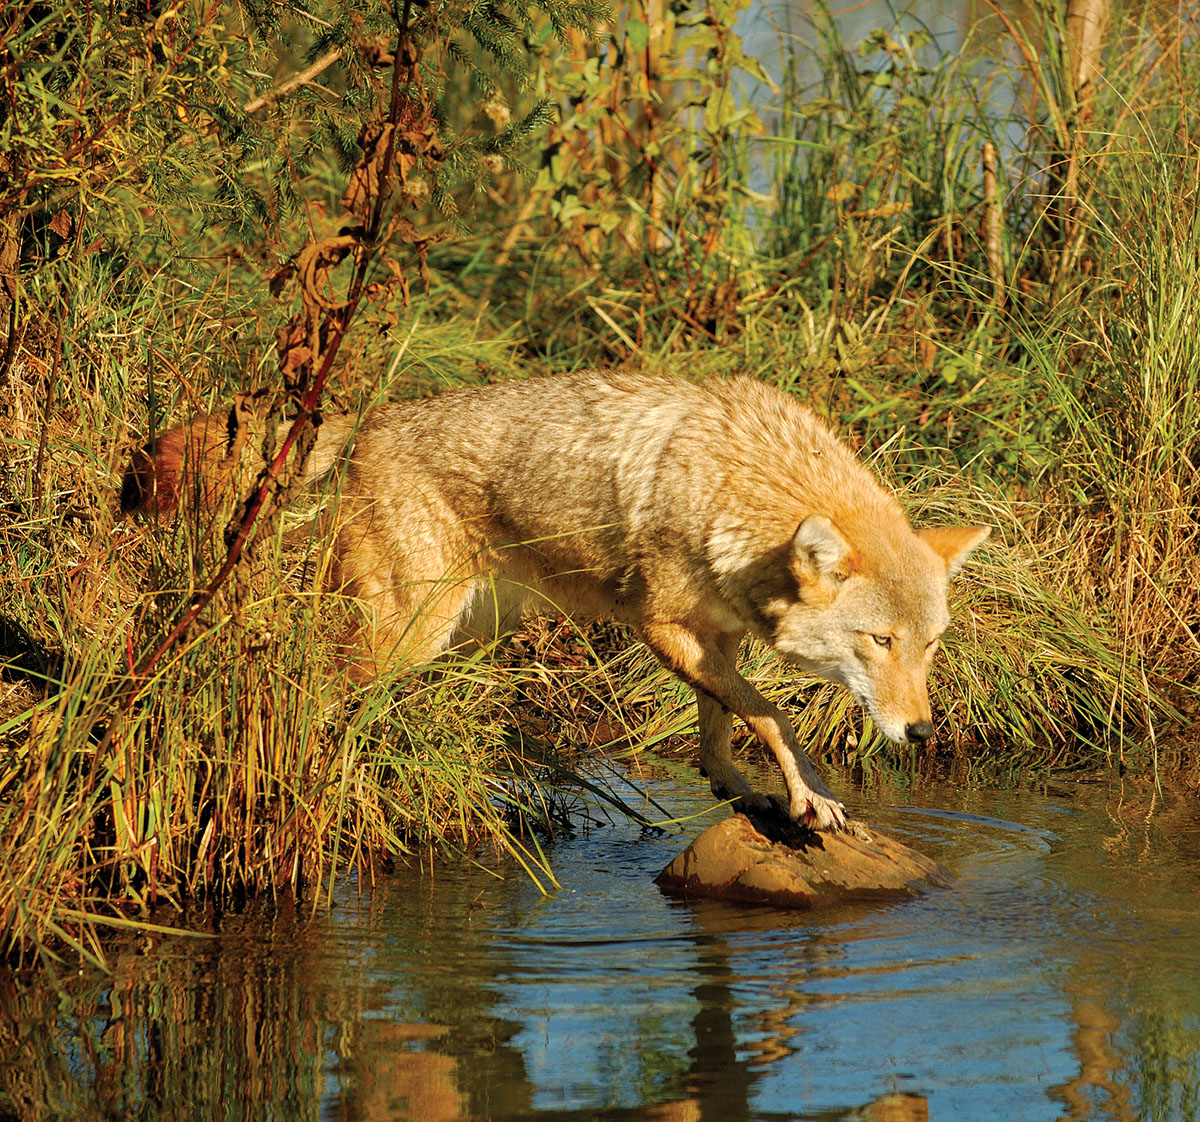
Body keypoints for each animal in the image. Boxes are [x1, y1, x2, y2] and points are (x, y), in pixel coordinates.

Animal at [121, 369, 990, 832]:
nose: (922, 731)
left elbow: (726, 719)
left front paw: (735, 786)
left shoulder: (719, 635)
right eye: (879, 642)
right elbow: (773, 713)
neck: (737, 483)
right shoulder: (658, 626)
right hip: (406, 636)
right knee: (318, 696)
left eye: (931, 645)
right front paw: (813, 795)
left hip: (463, 635)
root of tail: (365, 421)